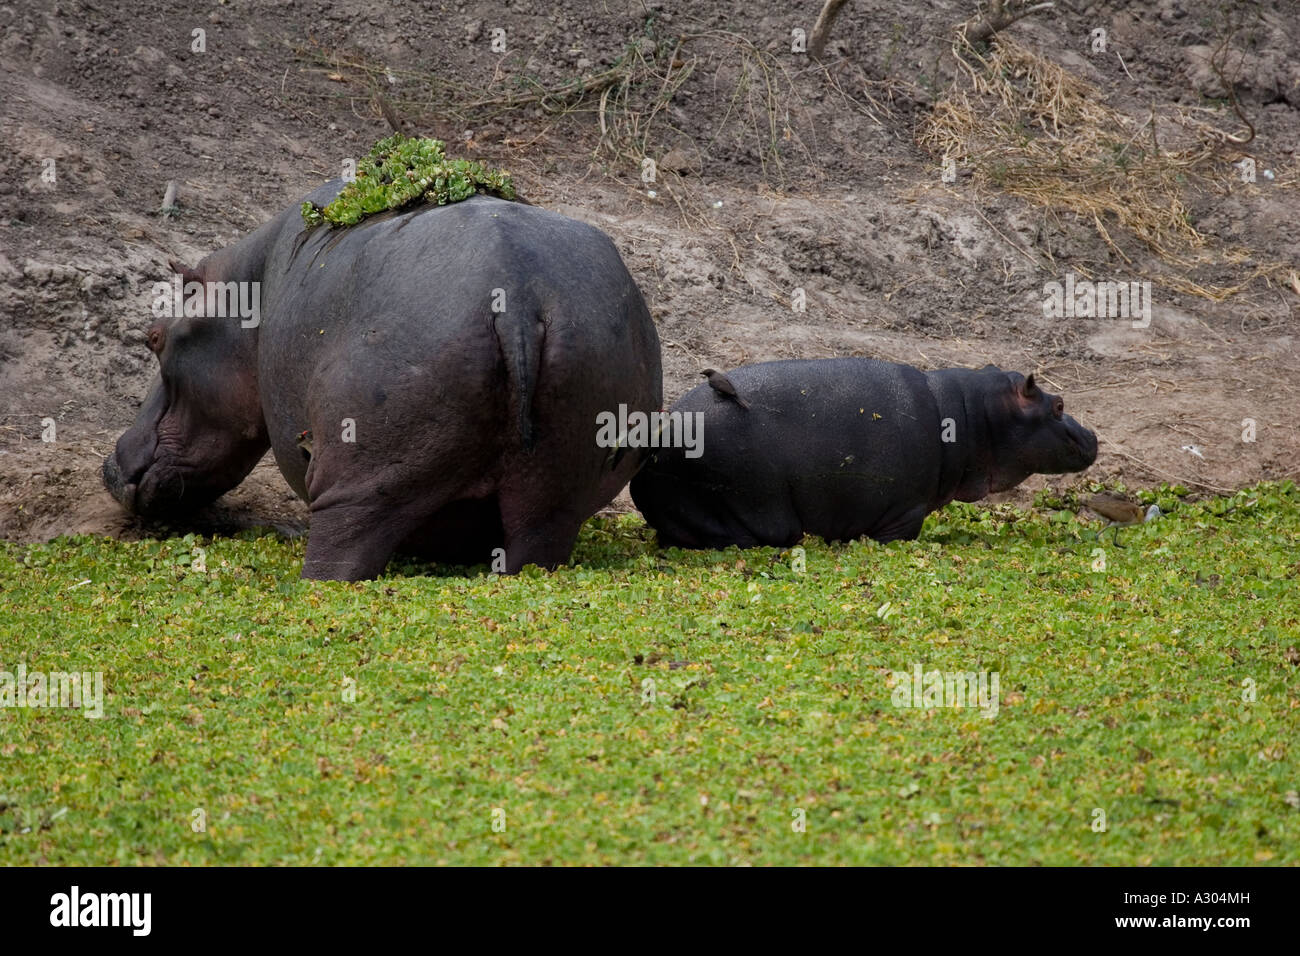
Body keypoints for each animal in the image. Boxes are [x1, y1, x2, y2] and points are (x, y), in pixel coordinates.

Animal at [104, 182, 660, 580]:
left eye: (154, 337)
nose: (110, 465)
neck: (248, 284)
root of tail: (518, 293)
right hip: (558, 477)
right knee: (536, 541)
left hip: (358, 488)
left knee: (339, 553)